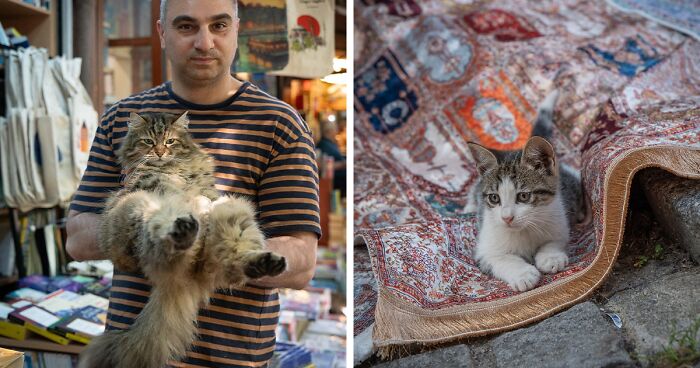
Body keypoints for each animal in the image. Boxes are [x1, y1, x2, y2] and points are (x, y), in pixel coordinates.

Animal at [470, 92, 584, 294]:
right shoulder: (484, 250)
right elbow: (500, 258)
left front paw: (550, 257)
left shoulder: (559, 220)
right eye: (494, 198)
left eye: (523, 196)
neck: (524, 230)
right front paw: (522, 274)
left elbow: (555, 240)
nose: (506, 218)